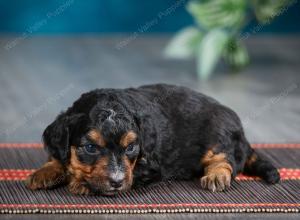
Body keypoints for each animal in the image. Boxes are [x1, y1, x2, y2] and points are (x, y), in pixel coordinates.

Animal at [24, 83, 280, 195]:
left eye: (131, 148)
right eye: (90, 147)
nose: (116, 182)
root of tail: (242, 132)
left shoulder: (150, 167)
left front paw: (80, 183)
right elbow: (59, 155)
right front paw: (46, 171)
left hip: (218, 135)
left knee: (226, 160)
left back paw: (217, 176)